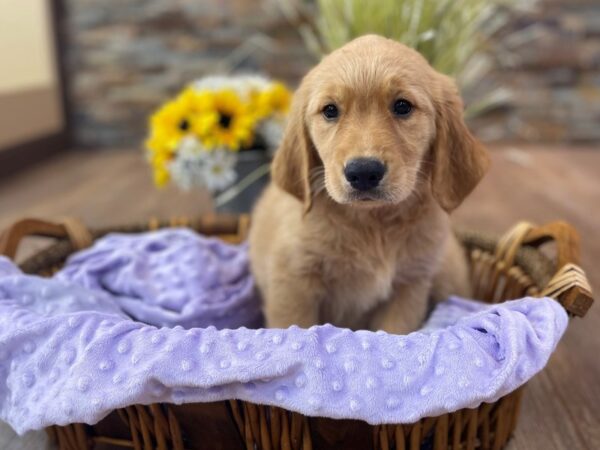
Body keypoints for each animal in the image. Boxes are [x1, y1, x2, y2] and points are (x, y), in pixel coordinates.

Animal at [248, 35, 488, 334]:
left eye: (402, 106)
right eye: (330, 110)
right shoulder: (292, 282)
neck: (371, 224)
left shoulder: (409, 286)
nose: (363, 172)